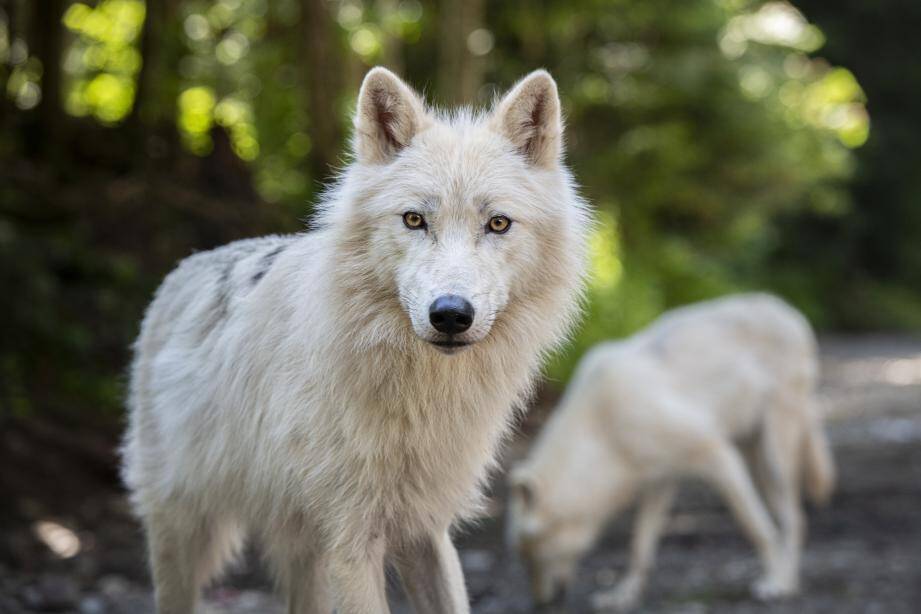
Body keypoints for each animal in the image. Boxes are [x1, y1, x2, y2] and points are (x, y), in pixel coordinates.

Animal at [118, 67, 588, 614]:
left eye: (497, 223)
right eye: (413, 219)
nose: (450, 314)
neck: (419, 399)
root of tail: (187, 264)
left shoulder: (426, 530)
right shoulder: (351, 540)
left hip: (302, 551)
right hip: (184, 531)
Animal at [506, 294, 836, 612]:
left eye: (531, 556)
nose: (540, 604)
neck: (602, 430)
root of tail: (790, 312)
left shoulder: (718, 457)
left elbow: (755, 527)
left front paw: (774, 580)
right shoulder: (660, 479)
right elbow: (640, 545)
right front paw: (624, 596)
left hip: (773, 457)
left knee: (794, 519)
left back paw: (784, 583)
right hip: (755, 459)